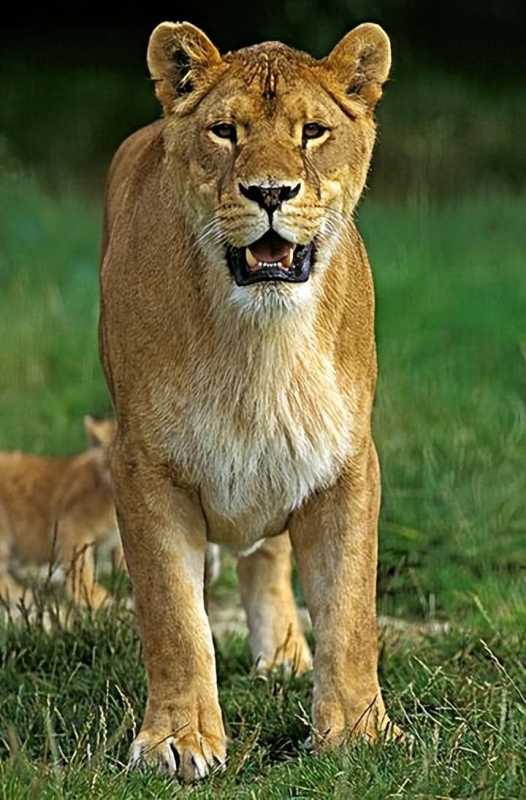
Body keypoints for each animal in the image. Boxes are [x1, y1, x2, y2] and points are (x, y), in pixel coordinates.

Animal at [99, 21, 397, 781]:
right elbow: (176, 620)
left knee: (270, 554)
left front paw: (359, 734)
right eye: (225, 131)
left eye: (313, 132)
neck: (262, 341)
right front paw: (178, 740)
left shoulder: (347, 464)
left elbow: (351, 613)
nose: (270, 192)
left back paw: (284, 655)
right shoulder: (143, 468)